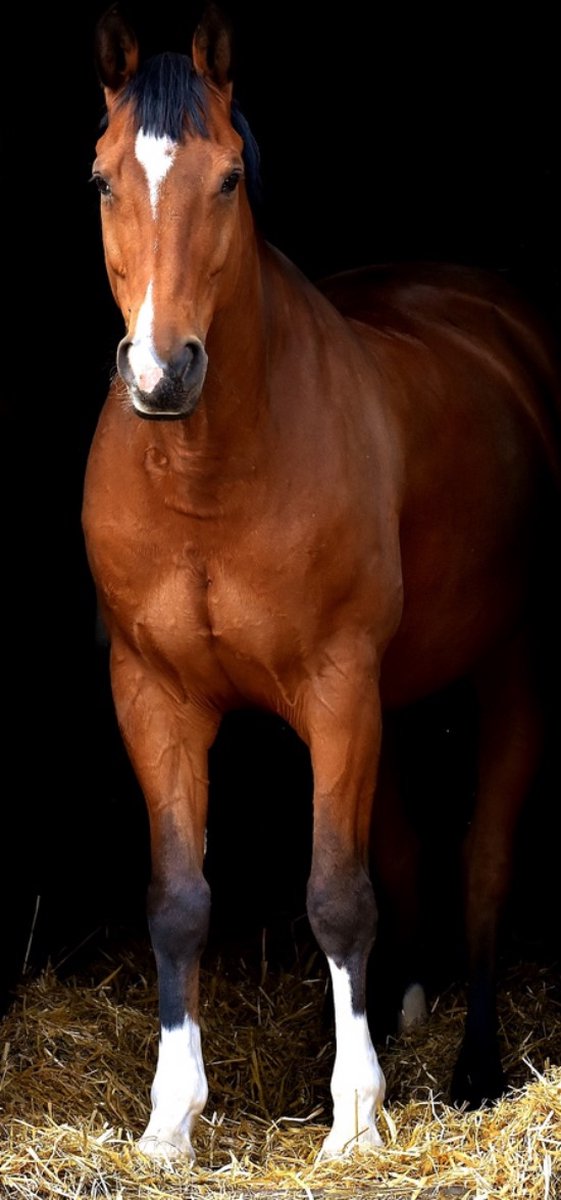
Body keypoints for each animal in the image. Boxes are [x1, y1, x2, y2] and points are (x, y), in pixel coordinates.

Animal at [83, 1, 561, 1164]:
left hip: (505, 669)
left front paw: (353, 1119)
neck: (207, 478)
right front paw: (170, 1119)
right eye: (102, 178)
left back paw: (473, 1067)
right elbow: (178, 899)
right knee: (410, 849)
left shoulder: (339, 688)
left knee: (482, 861)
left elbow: (338, 896)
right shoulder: (153, 695)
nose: (161, 372)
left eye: (227, 179)